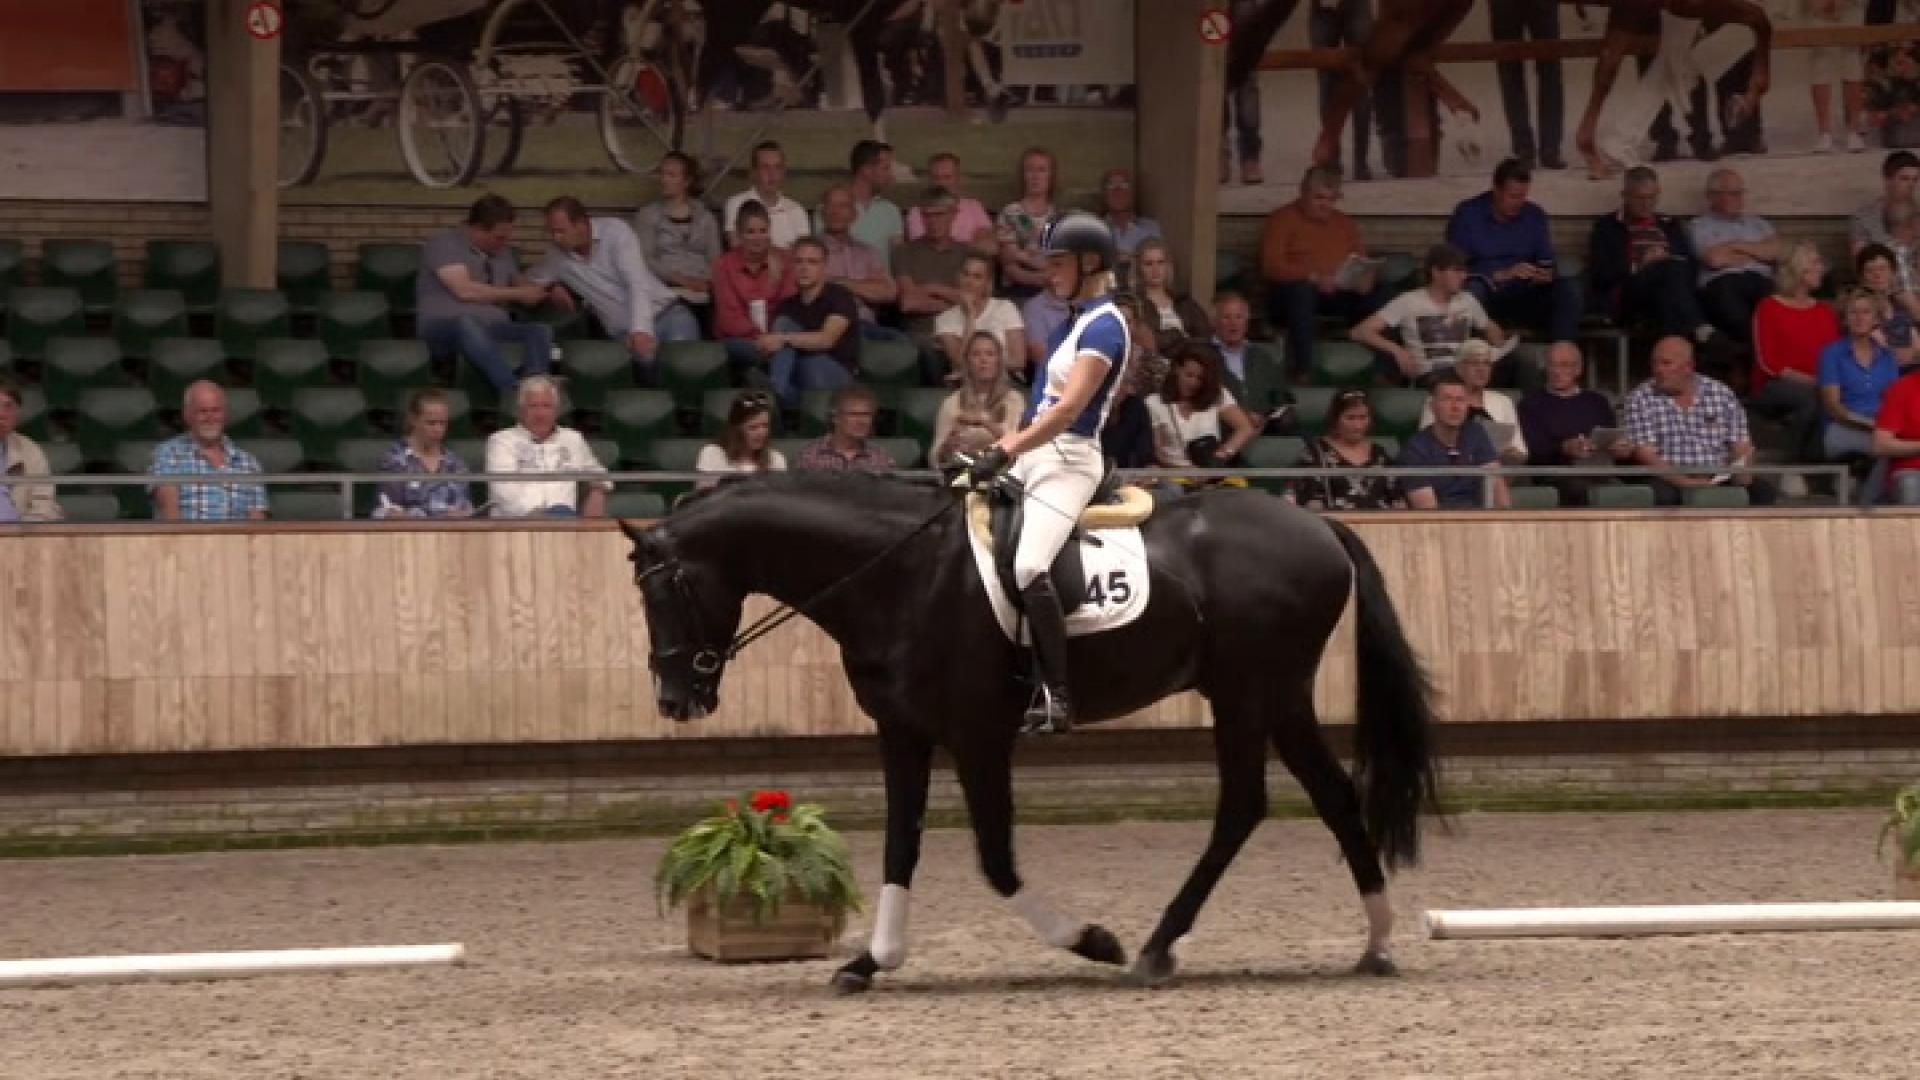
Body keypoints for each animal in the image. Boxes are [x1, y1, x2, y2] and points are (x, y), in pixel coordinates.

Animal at [620, 471, 1443, 992]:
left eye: (670, 590)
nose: (673, 698)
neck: (901, 574)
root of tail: (1319, 524)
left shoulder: (979, 736)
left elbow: (996, 861)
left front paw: (1093, 941)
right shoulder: (903, 731)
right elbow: (899, 844)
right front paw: (870, 963)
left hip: (1247, 695)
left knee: (1246, 805)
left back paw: (1153, 949)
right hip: (1274, 697)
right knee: (1328, 798)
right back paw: (1374, 943)